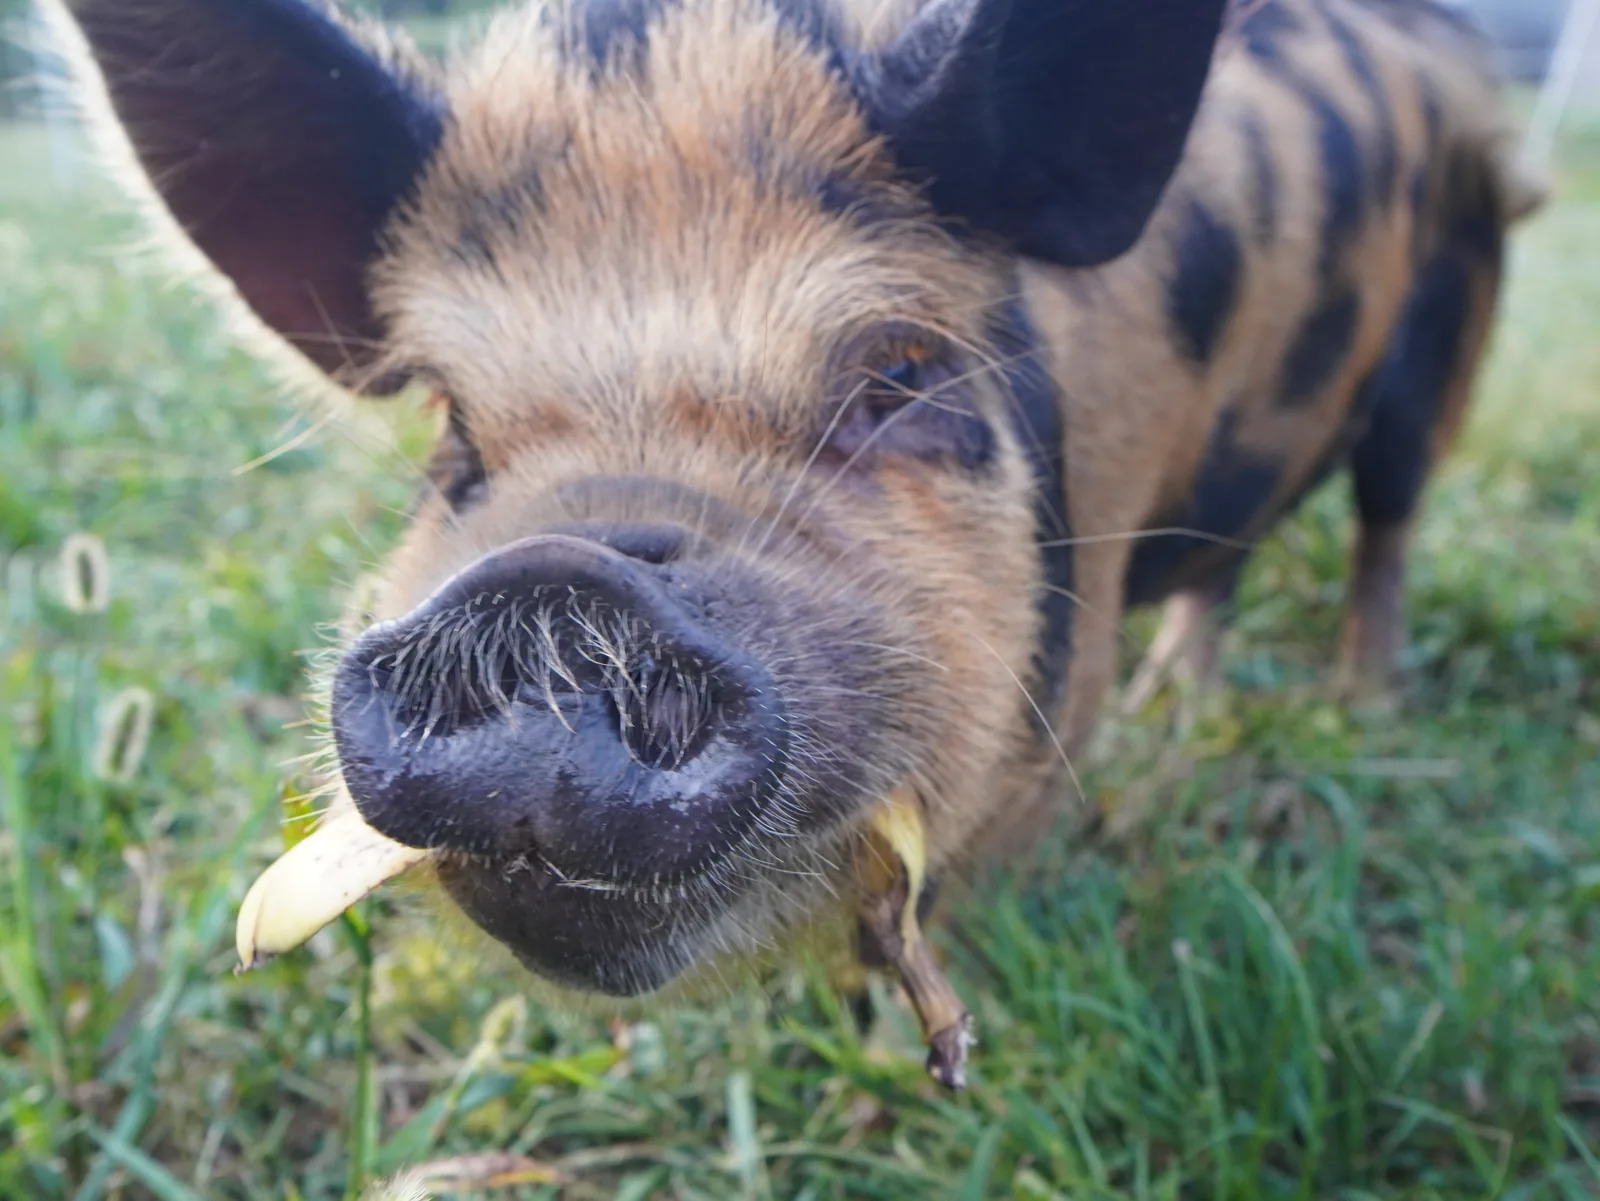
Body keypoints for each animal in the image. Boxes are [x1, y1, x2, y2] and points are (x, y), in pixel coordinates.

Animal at [51, 0, 1540, 1013]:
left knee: (1388, 519)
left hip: (1454, 322)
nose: (547, 576)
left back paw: (1363, 704)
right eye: (455, 436)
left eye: (898, 372)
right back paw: (1191, 702)